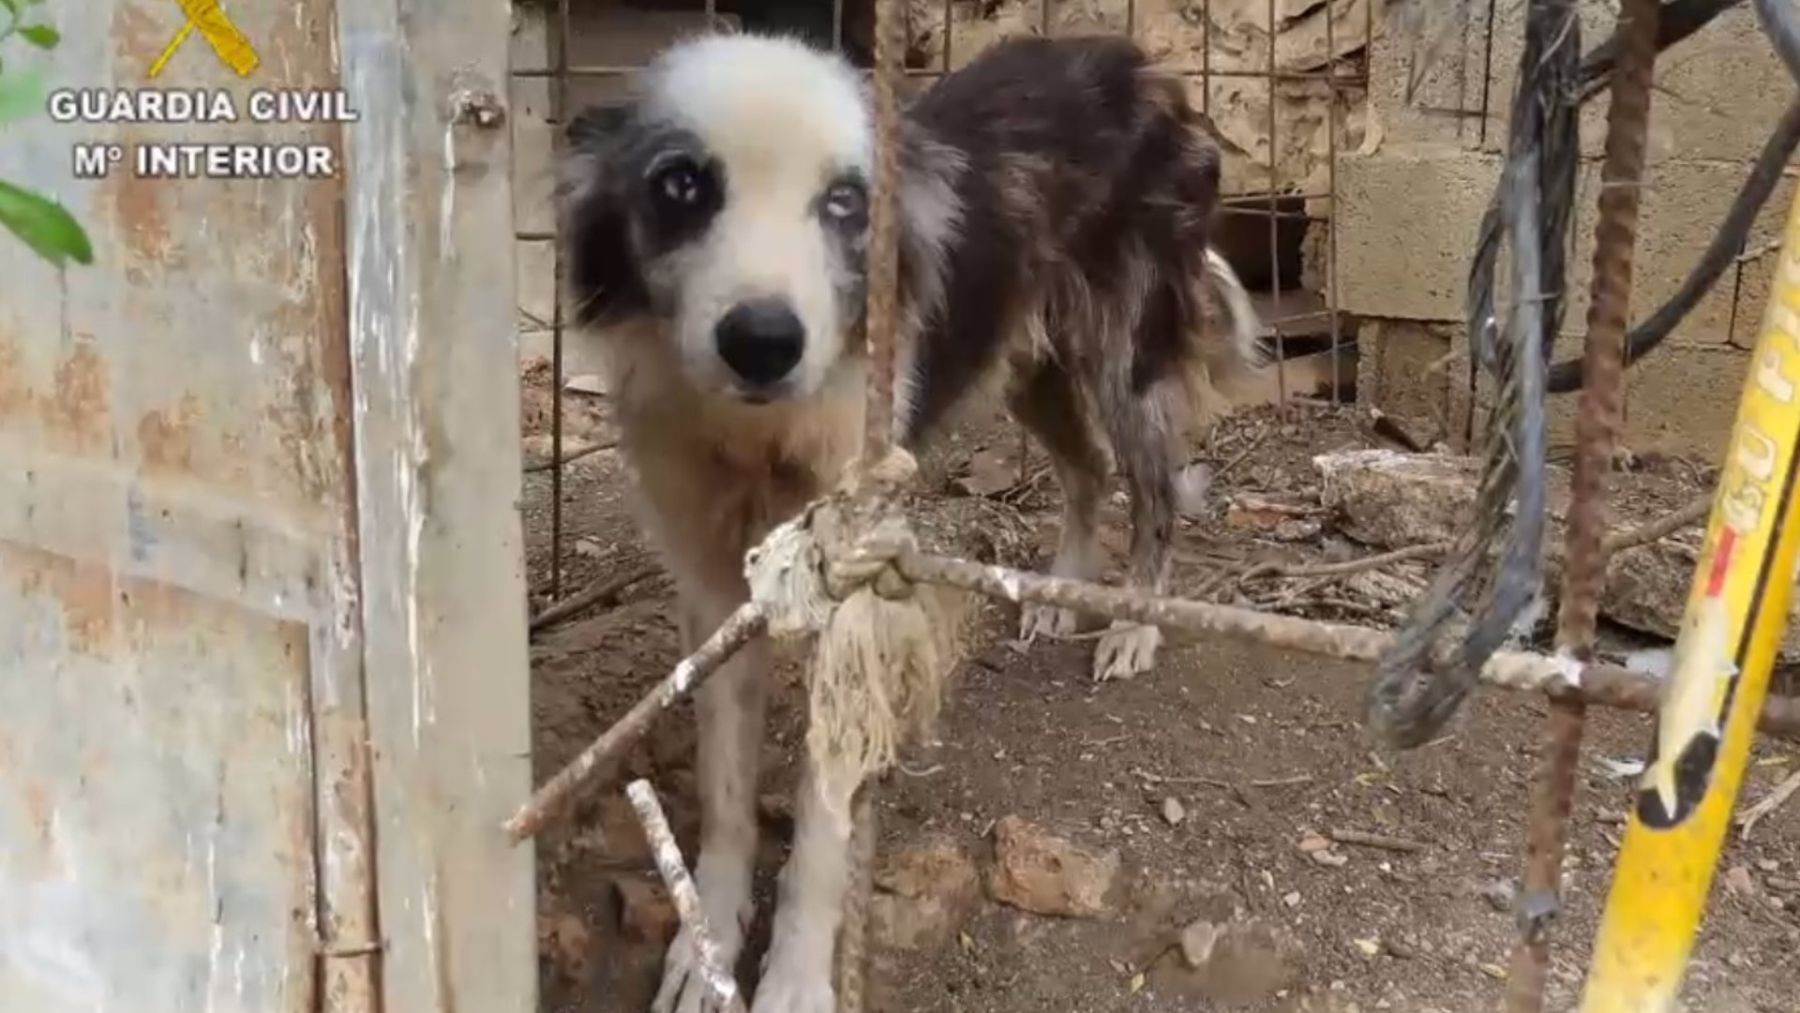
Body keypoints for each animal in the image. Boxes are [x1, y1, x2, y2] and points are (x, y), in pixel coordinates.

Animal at [554, 27, 1260, 1007]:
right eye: (681, 184)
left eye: (847, 202)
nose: (764, 343)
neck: (760, 435)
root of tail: (1139, 60)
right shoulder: (711, 583)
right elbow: (727, 796)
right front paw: (709, 952)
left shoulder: (855, 594)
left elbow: (822, 823)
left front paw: (796, 980)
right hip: (1022, 359)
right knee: (1085, 471)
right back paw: (1060, 593)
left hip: (1127, 357)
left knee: (1158, 490)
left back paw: (1131, 624)